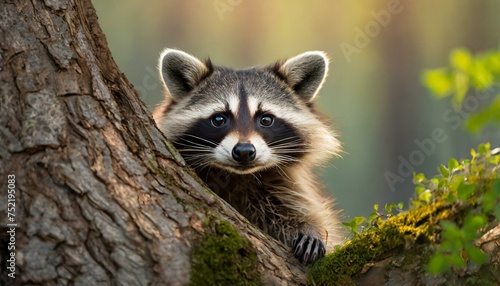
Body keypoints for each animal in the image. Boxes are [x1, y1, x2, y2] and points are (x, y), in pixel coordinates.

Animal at [154, 48, 342, 262]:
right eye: (219, 119)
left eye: (266, 119)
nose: (244, 152)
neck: (236, 177)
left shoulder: (282, 185)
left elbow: (297, 207)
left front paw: (308, 227)